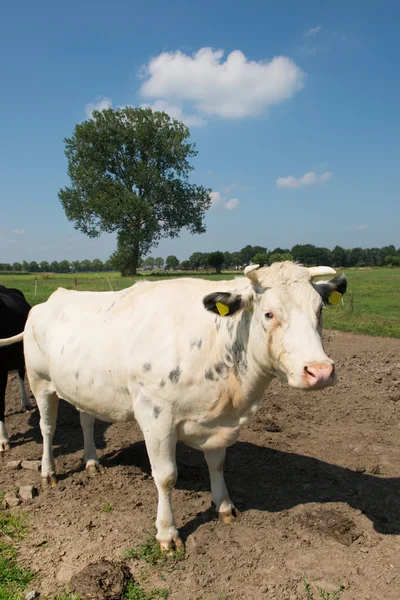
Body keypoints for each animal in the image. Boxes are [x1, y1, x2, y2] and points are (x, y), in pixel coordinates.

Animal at [0, 262, 346, 552]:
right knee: (47, 428)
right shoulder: (156, 416)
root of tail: (49, 300)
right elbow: (166, 476)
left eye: (319, 310)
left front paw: (223, 506)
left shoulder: (217, 421)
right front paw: (167, 533)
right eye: (269, 314)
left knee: (86, 422)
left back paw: (92, 462)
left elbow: (217, 464)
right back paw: (48, 472)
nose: (320, 371)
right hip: (40, 381)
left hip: (85, 387)